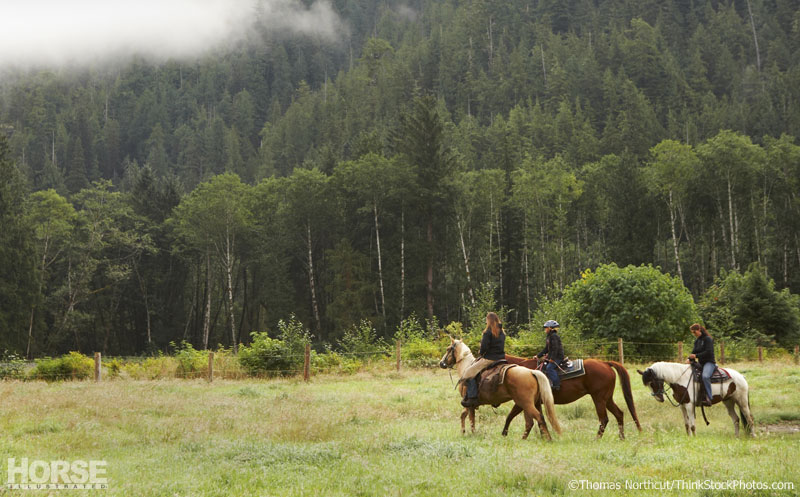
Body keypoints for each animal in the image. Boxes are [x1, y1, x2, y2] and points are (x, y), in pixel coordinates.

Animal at [504, 352, 640, 438]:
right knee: (619, 414)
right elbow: (538, 420)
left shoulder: (521, 402)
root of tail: (605, 363)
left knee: (604, 419)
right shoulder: (535, 403)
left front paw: (505, 434)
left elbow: (511, 417)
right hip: (607, 399)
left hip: (599, 399)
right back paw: (621, 437)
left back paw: (597, 439)